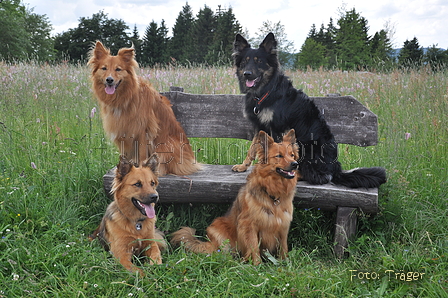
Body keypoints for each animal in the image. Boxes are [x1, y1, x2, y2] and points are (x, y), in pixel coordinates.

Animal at [87, 42, 200, 177]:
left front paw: (142, 169)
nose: (109, 80)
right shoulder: (122, 129)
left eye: (118, 69)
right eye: (104, 68)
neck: (125, 98)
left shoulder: (142, 130)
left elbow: (141, 153)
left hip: (168, 145)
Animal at [172, 129, 300, 264]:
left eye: (292, 155)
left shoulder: (283, 225)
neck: (274, 195)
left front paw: (285, 262)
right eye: (279, 156)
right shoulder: (249, 225)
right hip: (219, 232)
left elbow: (283, 248)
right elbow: (254, 248)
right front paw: (257, 265)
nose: (295, 164)